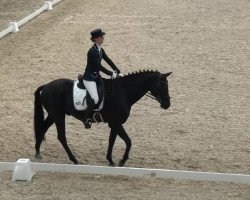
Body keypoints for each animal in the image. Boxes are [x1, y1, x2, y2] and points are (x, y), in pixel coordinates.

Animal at [34, 69, 172, 166]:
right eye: (161, 85)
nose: (167, 104)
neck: (123, 92)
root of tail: (46, 86)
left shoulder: (114, 124)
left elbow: (112, 141)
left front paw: (111, 161)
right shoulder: (116, 123)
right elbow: (128, 141)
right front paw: (122, 161)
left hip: (54, 115)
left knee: (43, 129)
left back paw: (38, 153)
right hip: (58, 115)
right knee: (61, 136)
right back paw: (75, 160)